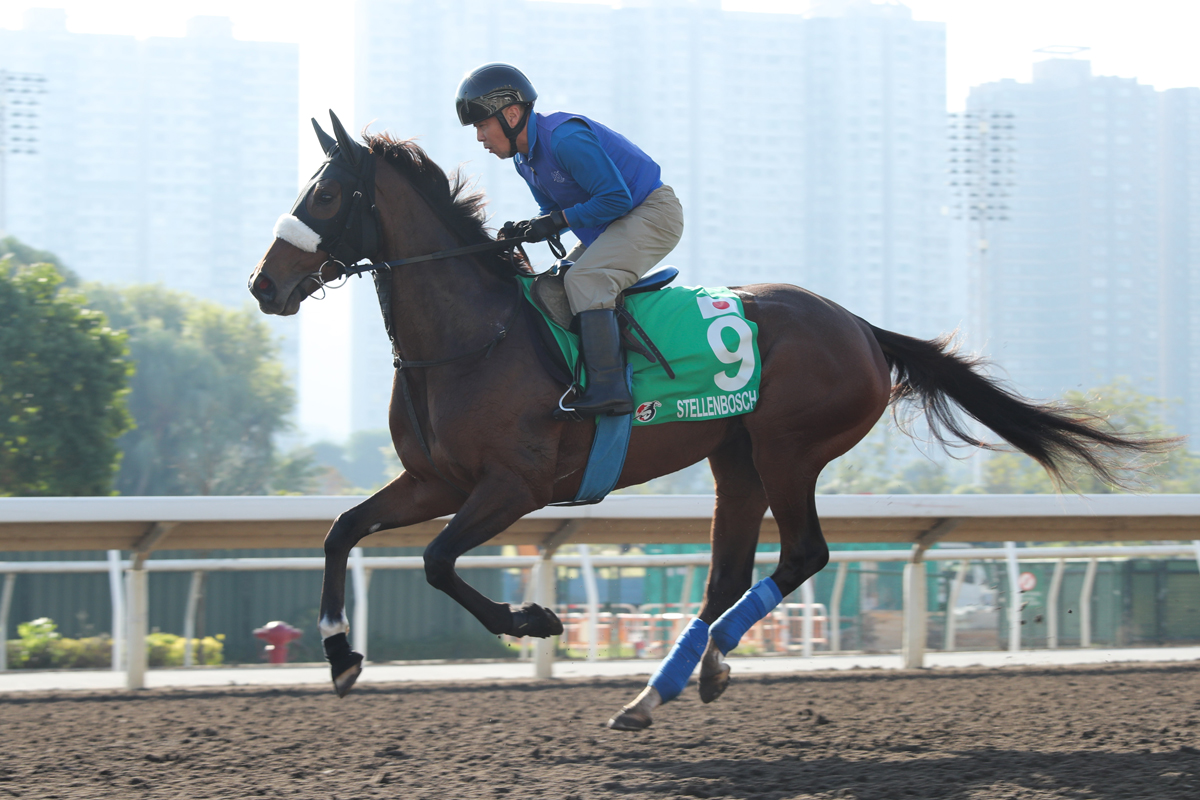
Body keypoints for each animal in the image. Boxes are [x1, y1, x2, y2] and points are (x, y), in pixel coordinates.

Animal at [246, 112, 1171, 734]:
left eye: (328, 191)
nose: (264, 285)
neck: (476, 335)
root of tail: (862, 328)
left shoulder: (513, 485)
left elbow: (437, 562)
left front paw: (534, 621)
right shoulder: (435, 478)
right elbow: (341, 530)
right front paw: (340, 654)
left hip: (789, 449)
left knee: (803, 556)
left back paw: (703, 665)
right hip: (738, 459)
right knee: (727, 572)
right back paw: (662, 686)